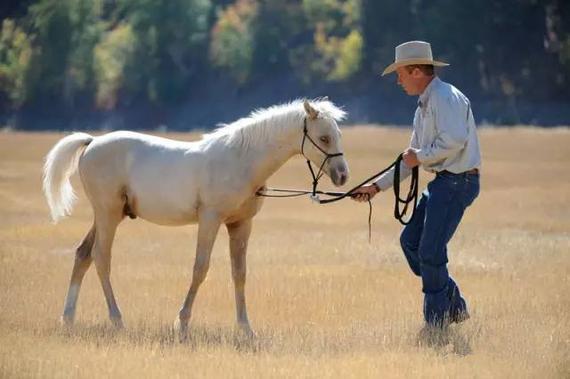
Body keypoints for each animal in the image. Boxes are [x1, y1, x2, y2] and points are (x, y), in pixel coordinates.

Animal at [42, 99, 346, 336]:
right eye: (324, 138)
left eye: (338, 134)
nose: (343, 175)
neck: (240, 161)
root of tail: (92, 141)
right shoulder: (210, 220)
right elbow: (200, 269)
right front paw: (182, 323)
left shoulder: (240, 225)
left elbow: (239, 274)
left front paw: (246, 329)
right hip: (108, 214)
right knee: (101, 258)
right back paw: (117, 321)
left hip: (109, 216)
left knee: (83, 254)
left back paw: (68, 319)